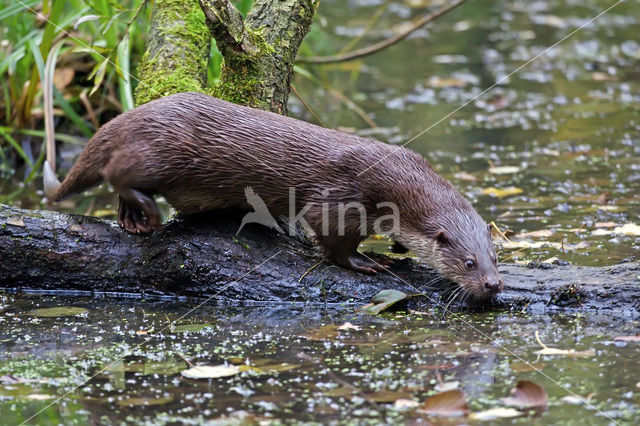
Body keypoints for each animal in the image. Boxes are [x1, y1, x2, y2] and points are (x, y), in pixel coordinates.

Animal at [43, 92, 504, 300]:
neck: (395, 175)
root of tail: (129, 116)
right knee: (116, 172)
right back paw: (148, 215)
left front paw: (395, 249)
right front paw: (367, 262)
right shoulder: (341, 199)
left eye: (495, 257)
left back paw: (132, 220)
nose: (494, 284)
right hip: (158, 152)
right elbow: (333, 239)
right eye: (469, 262)